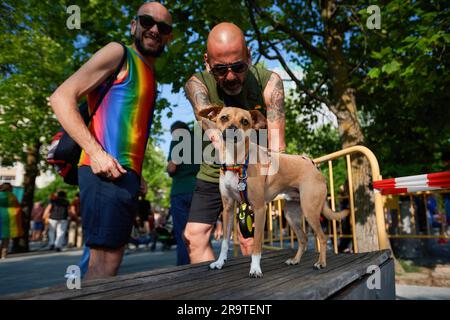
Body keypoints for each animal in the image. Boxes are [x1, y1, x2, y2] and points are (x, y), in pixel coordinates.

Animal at [199, 105, 350, 278]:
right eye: (224, 117)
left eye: (245, 121)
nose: (233, 129)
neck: (236, 161)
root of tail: (313, 165)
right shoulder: (228, 209)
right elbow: (224, 241)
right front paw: (219, 262)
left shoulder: (259, 209)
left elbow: (257, 244)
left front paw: (255, 268)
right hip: (291, 215)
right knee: (304, 239)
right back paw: (295, 260)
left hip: (310, 211)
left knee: (322, 238)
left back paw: (321, 263)